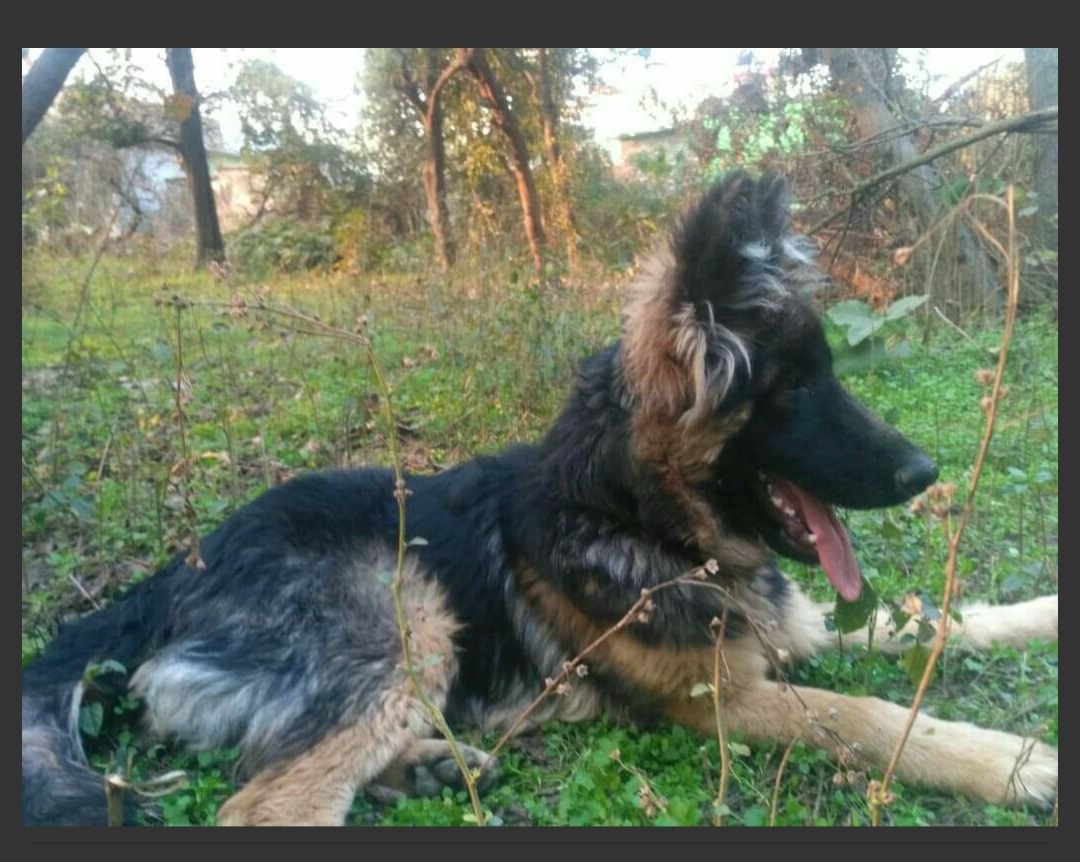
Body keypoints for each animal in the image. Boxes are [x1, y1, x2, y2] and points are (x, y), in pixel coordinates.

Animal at [22, 171, 1058, 826]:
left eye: (830, 375)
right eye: (795, 389)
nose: (926, 473)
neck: (635, 516)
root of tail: (174, 574)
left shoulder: (790, 630)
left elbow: (945, 619)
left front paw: (1042, 615)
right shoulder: (717, 704)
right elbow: (869, 717)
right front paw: (1015, 762)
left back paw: (427, 768)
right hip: (408, 608)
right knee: (267, 800)